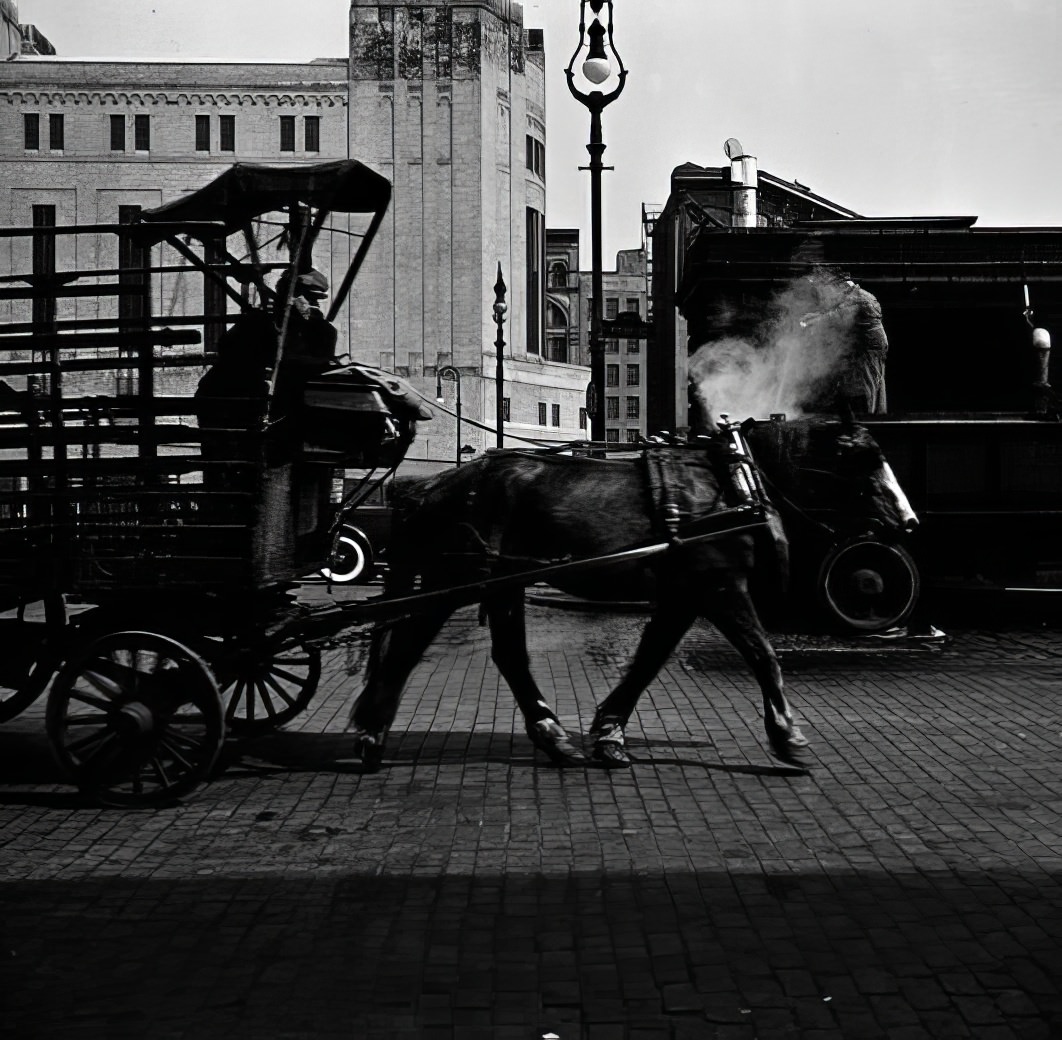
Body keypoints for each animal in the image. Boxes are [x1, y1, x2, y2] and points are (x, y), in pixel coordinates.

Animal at [346, 418, 913, 769]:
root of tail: (432, 486)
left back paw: (554, 737)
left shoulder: (686, 594)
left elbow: (648, 660)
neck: (735, 484)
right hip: (455, 579)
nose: (909, 522)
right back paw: (371, 732)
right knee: (409, 646)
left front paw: (609, 735)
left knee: (509, 655)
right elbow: (763, 654)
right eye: (865, 459)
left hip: (503, 583)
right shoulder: (721, 586)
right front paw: (787, 735)